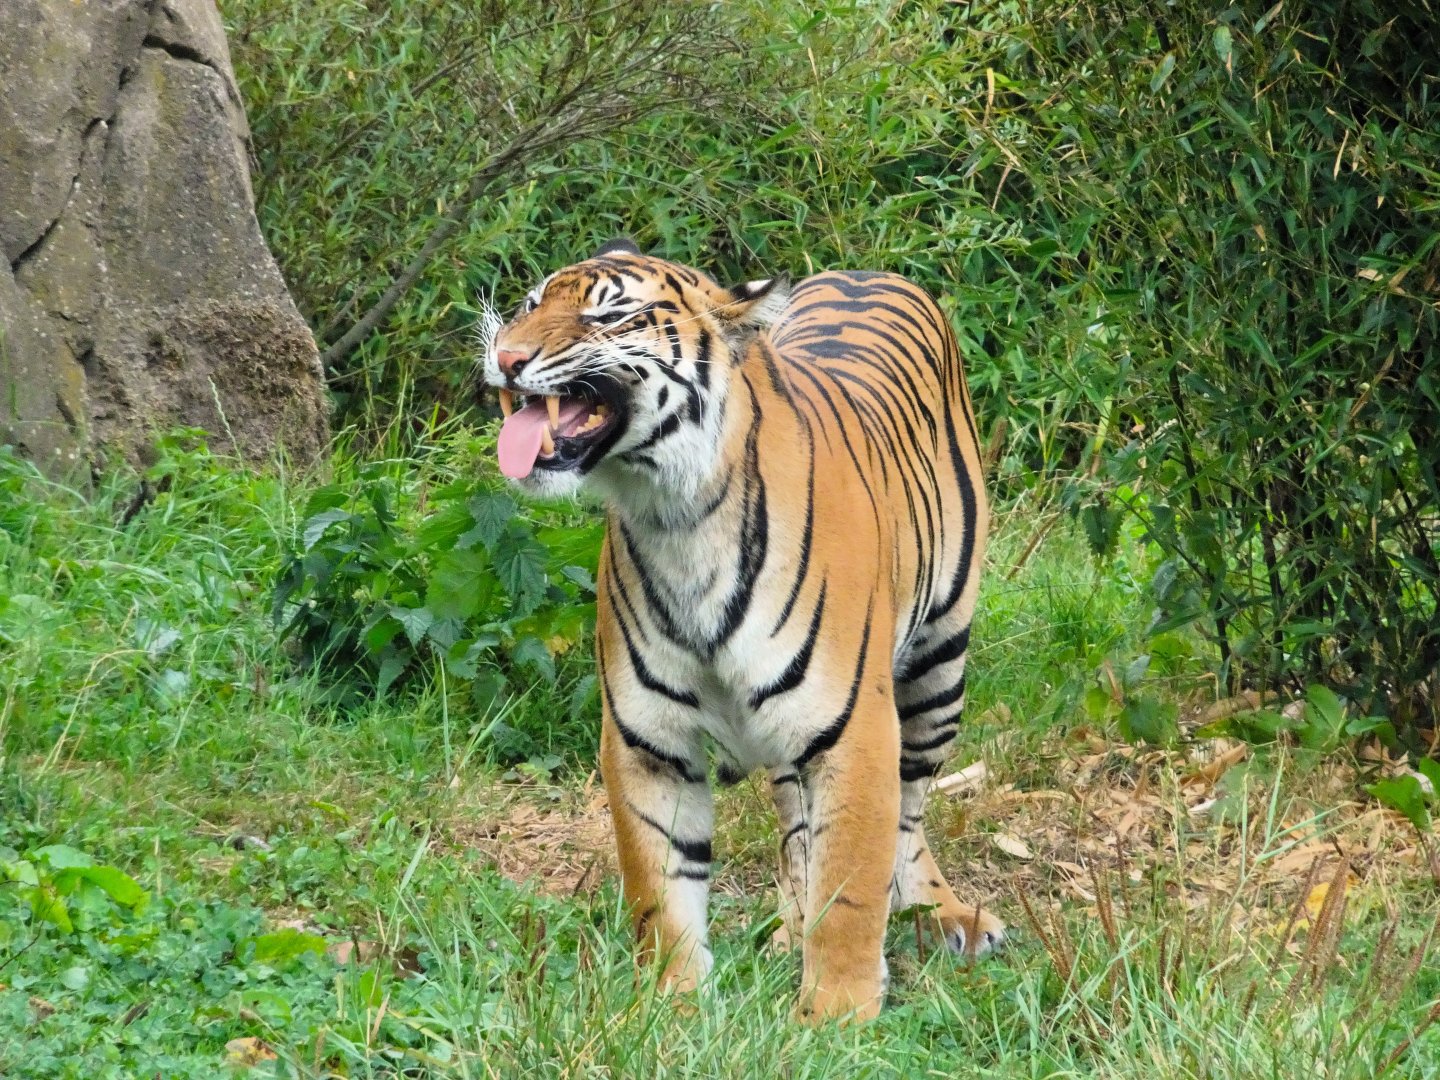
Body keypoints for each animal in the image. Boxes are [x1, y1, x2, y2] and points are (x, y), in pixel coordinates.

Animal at [479, 237, 1004, 1022]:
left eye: (610, 315)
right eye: (531, 303)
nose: (505, 357)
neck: (674, 513)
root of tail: (866, 271)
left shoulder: (855, 730)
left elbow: (852, 884)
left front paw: (836, 1018)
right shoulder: (647, 740)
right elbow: (660, 889)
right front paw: (671, 1009)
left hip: (939, 667)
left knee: (910, 809)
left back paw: (941, 917)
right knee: (796, 823)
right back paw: (790, 929)